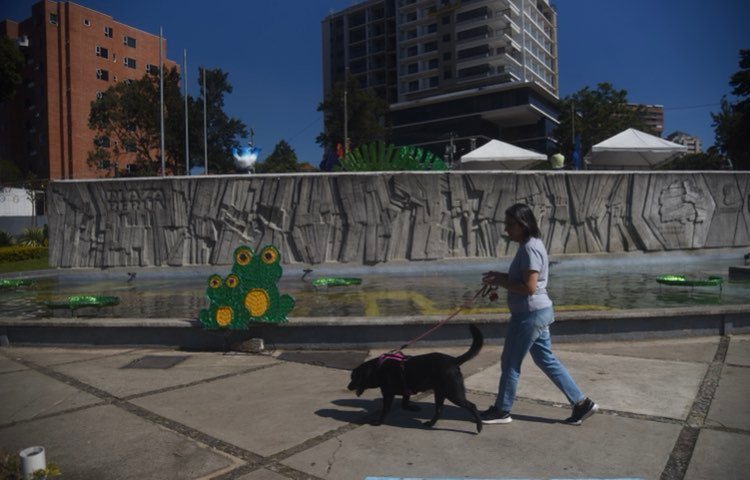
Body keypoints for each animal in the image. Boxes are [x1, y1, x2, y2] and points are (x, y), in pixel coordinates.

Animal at [348, 324, 484, 434]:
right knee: (439, 410)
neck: (378, 368)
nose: (348, 387)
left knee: (472, 406)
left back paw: (479, 427)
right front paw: (413, 408)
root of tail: (453, 360)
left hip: (453, 393)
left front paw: (378, 422)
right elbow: (404, 404)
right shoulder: (406, 390)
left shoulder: (388, 395)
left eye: (354, 377)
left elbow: (385, 410)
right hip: (440, 393)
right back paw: (430, 424)